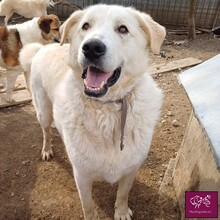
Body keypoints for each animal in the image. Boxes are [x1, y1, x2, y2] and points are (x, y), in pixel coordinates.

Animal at [19, 4, 165, 219]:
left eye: (123, 29)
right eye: (85, 26)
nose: (92, 48)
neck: (107, 107)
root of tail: (43, 48)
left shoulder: (131, 169)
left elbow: (123, 193)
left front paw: (121, 211)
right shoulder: (82, 174)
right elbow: (87, 205)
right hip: (43, 111)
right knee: (45, 131)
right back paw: (47, 149)